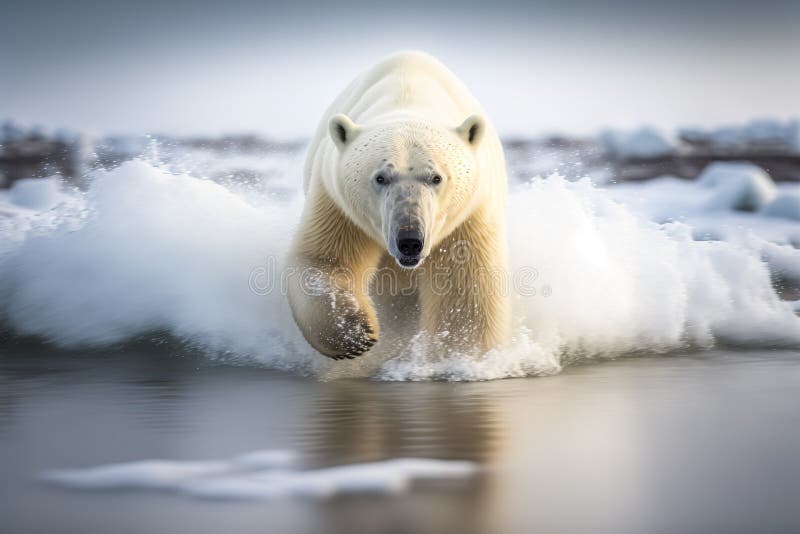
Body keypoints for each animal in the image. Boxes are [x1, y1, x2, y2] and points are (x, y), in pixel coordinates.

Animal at [286, 51, 510, 360]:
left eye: (436, 177)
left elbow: (464, 288)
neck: (408, 95)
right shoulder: (338, 203)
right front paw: (356, 334)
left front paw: (460, 356)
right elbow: (325, 260)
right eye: (380, 177)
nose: (410, 241)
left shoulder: (468, 215)